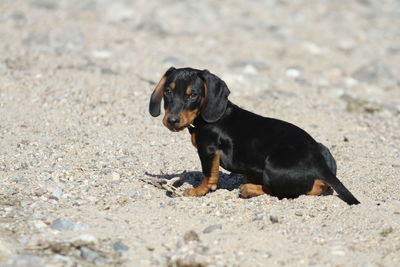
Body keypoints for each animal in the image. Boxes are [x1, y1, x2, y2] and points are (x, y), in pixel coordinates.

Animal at [149, 67, 360, 205]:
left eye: (192, 95)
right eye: (167, 91)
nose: (172, 120)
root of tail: (319, 164)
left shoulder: (208, 150)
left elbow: (208, 175)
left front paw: (197, 191)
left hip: (273, 165)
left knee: (280, 192)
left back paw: (248, 189)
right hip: (322, 148)